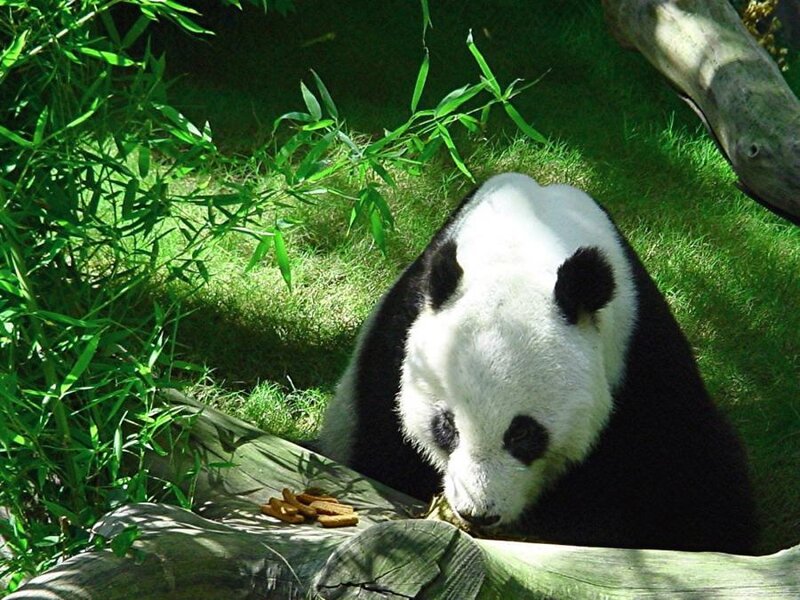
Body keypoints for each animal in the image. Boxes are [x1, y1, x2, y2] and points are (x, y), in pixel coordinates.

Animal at [319, 173, 758, 554]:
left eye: (523, 433)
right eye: (447, 427)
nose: (479, 513)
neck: (525, 239)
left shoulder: (639, 358)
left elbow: (682, 481)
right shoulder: (396, 348)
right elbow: (383, 453)